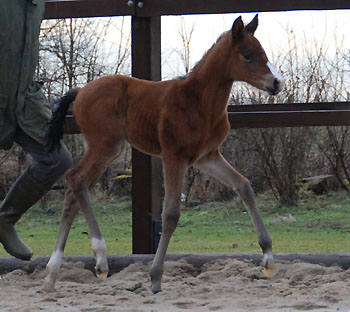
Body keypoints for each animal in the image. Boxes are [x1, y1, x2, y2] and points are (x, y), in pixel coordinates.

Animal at [43, 14, 284, 292]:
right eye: (247, 55)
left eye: (263, 52)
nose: (277, 83)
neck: (199, 101)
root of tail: (81, 91)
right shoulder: (173, 156)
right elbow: (170, 214)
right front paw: (156, 277)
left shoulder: (207, 156)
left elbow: (244, 186)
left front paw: (268, 258)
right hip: (106, 146)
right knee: (75, 179)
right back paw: (99, 259)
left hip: (105, 149)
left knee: (74, 189)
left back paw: (53, 274)